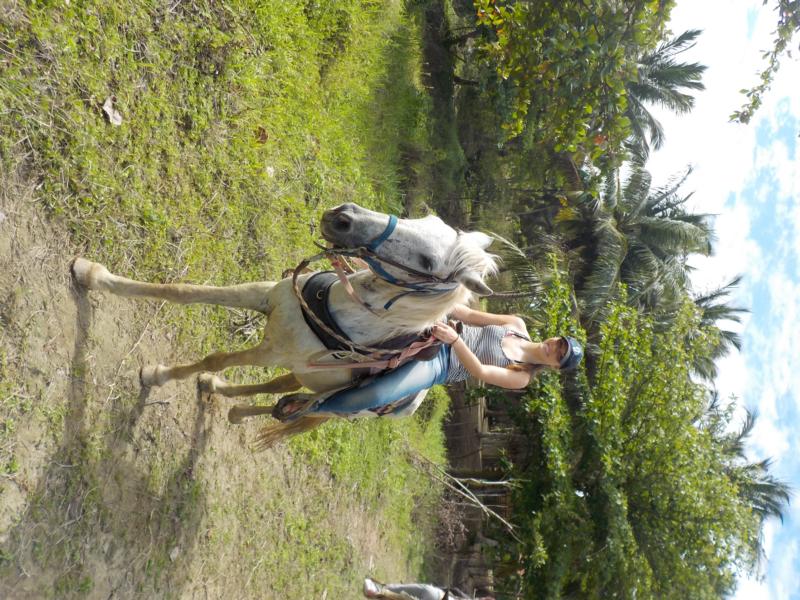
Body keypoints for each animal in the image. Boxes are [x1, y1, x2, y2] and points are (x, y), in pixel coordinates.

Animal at [71, 203, 497, 445]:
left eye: (428, 261)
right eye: (423, 217)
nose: (343, 217)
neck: (341, 311)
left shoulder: (272, 349)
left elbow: (217, 357)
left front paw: (157, 375)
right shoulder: (264, 296)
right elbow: (181, 291)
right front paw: (90, 274)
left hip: (331, 407)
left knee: (292, 408)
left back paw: (236, 411)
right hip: (306, 373)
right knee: (281, 386)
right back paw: (218, 392)